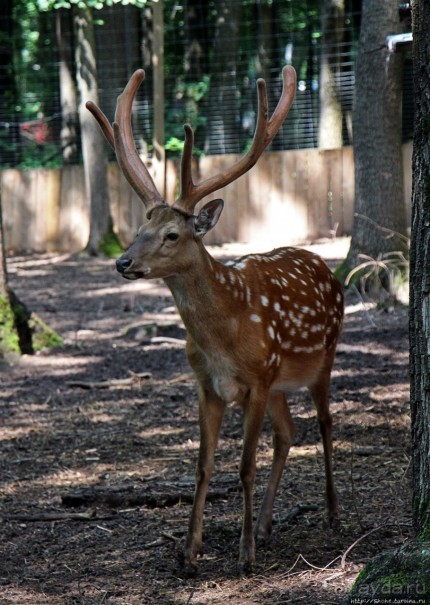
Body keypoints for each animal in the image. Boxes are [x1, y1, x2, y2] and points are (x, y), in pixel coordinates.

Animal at [86, 67, 342, 576]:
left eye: (172, 234)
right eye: (140, 228)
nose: (123, 262)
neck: (224, 335)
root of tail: (325, 267)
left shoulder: (257, 380)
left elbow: (243, 465)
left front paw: (244, 556)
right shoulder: (208, 385)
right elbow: (203, 466)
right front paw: (189, 551)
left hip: (322, 357)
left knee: (324, 423)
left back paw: (331, 513)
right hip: (281, 382)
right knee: (288, 433)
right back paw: (265, 525)